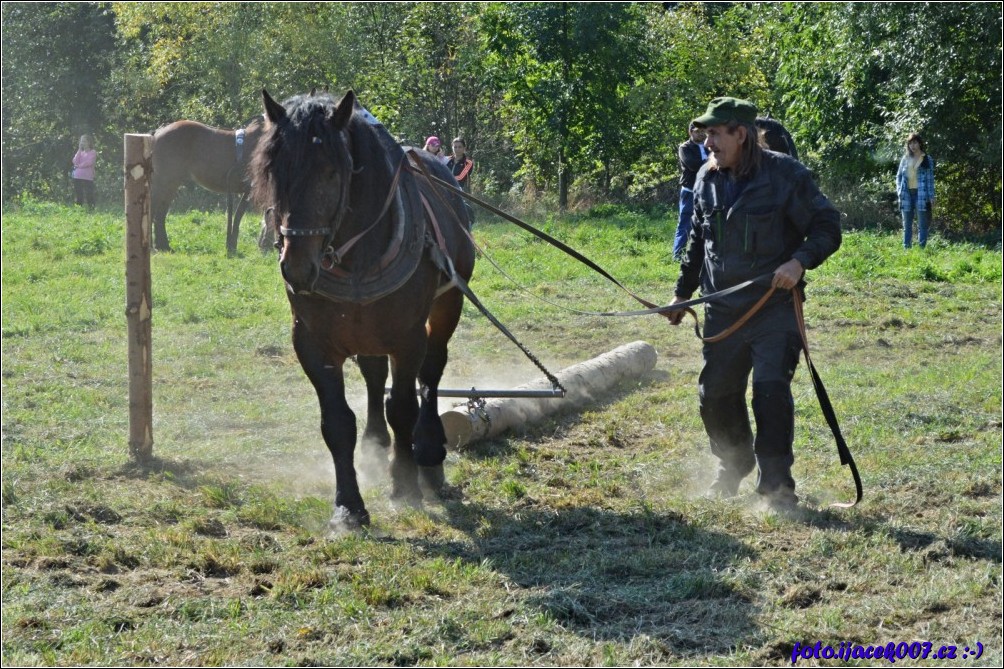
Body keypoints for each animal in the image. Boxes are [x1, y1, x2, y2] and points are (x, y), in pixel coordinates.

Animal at [149, 117, 263, 253]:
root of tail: (158, 133)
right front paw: (231, 247)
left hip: (170, 184)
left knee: (160, 214)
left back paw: (163, 246)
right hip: (164, 182)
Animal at [246, 89, 473, 526]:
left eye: (332, 173)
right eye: (274, 172)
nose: (296, 267)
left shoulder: (407, 338)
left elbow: (402, 406)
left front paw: (404, 485)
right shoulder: (312, 342)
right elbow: (337, 423)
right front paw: (348, 506)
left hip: (447, 304)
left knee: (431, 374)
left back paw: (429, 454)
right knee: (373, 375)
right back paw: (375, 445)